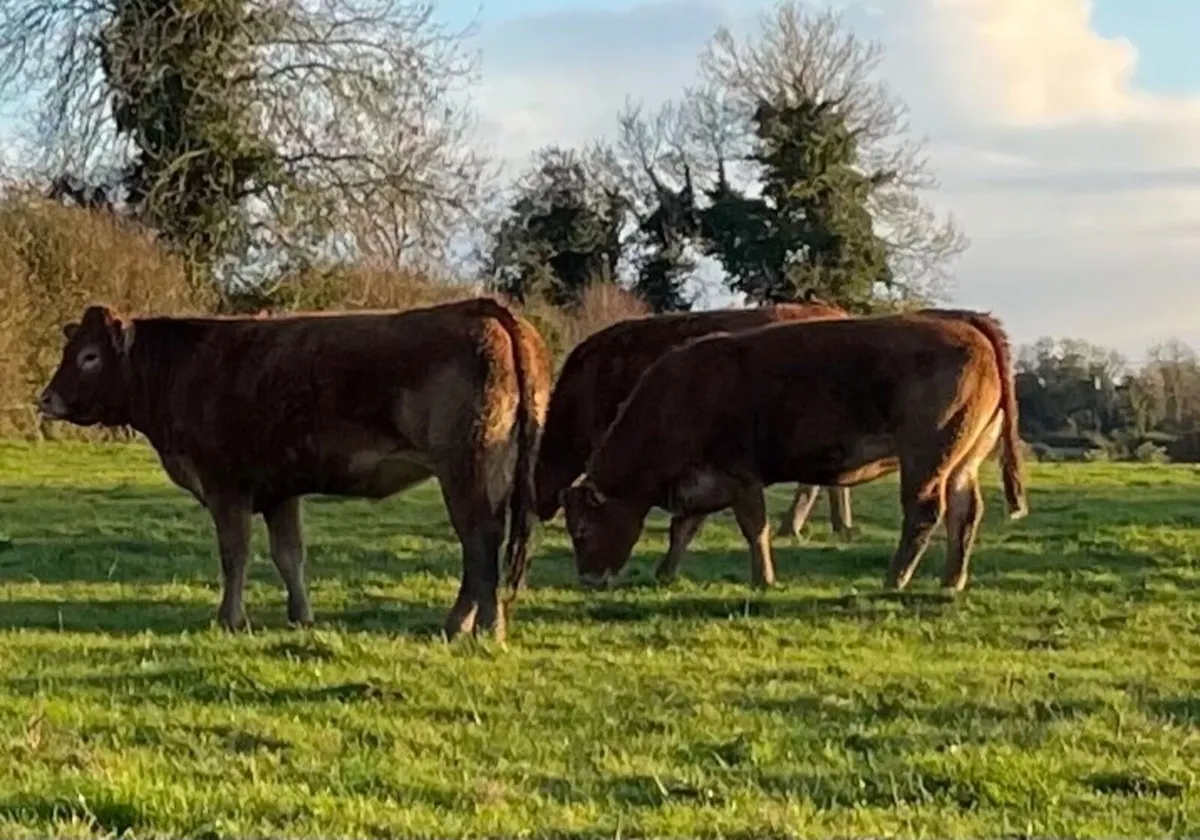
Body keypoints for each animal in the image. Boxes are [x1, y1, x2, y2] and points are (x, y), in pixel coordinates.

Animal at [37, 298, 551, 642]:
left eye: (89, 356)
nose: (46, 398)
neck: (185, 369)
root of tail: (481, 308)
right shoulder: (280, 492)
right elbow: (289, 555)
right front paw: (301, 616)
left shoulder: (227, 487)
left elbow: (235, 554)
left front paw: (230, 619)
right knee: (480, 546)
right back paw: (462, 624)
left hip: (466, 469)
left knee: (480, 541)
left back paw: (482, 627)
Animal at [562, 309, 1028, 592]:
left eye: (581, 529)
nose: (589, 579)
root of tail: (963, 321)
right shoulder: (702, 483)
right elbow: (683, 529)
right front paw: (664, 574)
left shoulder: (740, 474)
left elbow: (755, 527)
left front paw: (763, 579)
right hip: (963, 461)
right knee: (964, 511)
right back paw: (951, 580)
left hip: (925, 457)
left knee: (924, 511)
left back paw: (894, 579)